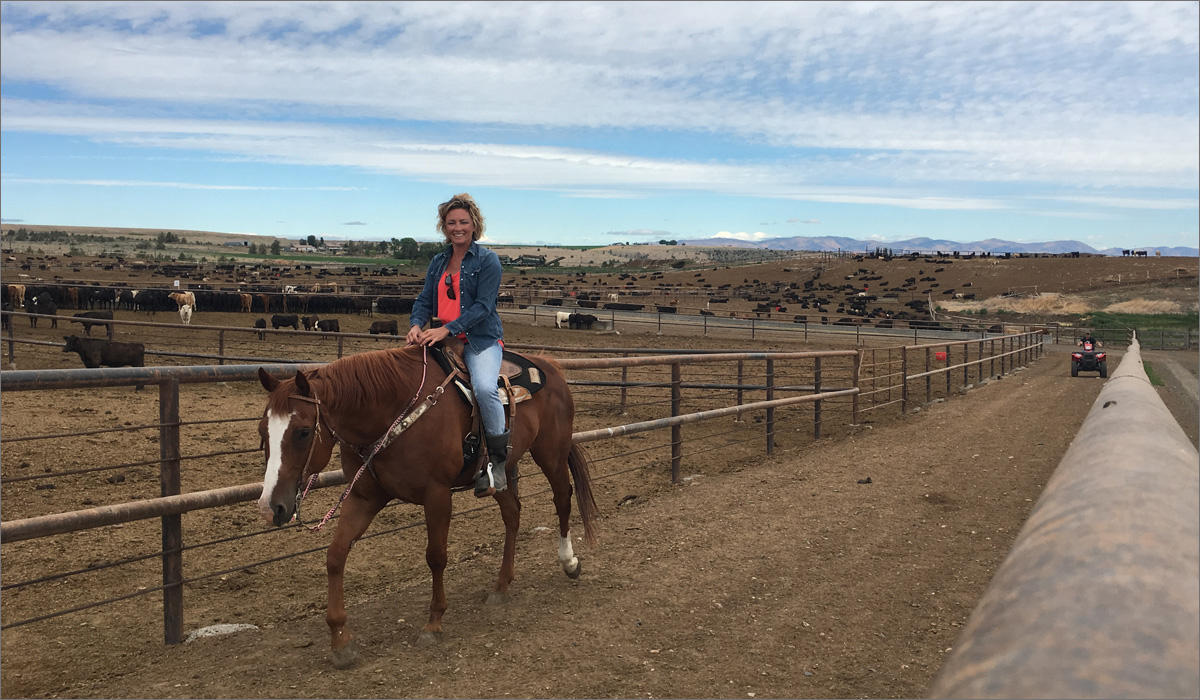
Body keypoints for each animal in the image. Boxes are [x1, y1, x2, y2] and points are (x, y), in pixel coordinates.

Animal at [260, 343, 600, 667]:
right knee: (512, 513)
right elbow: (335, 555)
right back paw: (501, 585)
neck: (391, 411)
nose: (270, 507)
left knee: (563, 499)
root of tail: (550, 366)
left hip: (551, 453)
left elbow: (436, 557)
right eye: (263, 432)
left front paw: (434, 621)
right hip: (499, 474)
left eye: (303, 432)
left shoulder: (437, 494)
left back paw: (569, 561)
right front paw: (340, 639)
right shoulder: (364, 498)